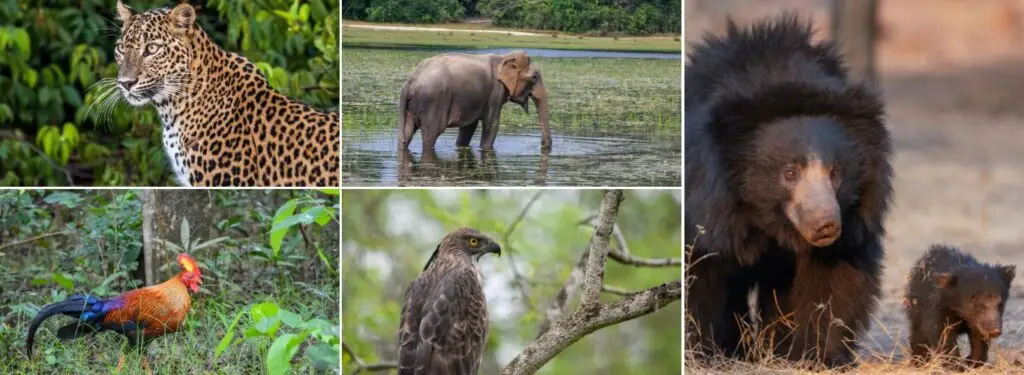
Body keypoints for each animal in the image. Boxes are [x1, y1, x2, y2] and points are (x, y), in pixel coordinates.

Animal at [395, 49, 552, 152]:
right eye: (534, 78)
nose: (543, 145)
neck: (503, 57)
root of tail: (410, 82)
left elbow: (469, 126)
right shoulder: (494, 93)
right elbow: (492, 124)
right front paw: (485, 149)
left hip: (410, 106)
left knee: (406, 133)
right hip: (434, 103)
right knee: (431, 134)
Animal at [684, 13, 892, 366]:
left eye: (835, 172)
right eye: (790, 173)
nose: (826, 225)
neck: (769, 221)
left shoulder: (855, 221)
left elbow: (834, 282)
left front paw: (818, 355)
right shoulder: (708, 208)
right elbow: (700, 274)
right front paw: (701, 352)